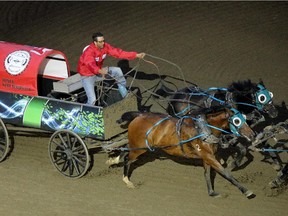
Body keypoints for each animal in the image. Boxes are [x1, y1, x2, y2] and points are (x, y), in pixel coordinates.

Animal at [117, 108, 256, 199]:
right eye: (237, 121)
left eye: (245, 118)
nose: (252, 135)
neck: (205, 129)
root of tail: (140, 115)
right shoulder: (209, 156)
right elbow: (225, 173)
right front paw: (246, 191)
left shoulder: (207, 157)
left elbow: (207, 174)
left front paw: (211, 192)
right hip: (140, 148)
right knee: (128, 159)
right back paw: (127, 180)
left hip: (136, 145)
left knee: (125, 150)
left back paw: (115, 160)